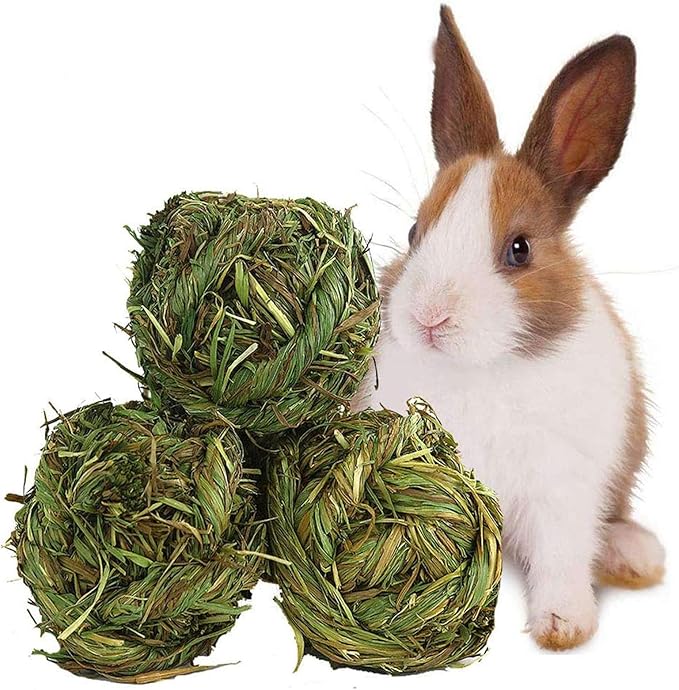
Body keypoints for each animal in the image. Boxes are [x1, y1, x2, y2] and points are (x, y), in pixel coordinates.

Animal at [355, 5, 665, 651]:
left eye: (519, 249)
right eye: (415, 231)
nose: (430, 316)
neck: (481, 369)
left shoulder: (562, 488)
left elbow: (561, 556)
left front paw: (563, 627)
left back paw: (635, 557)